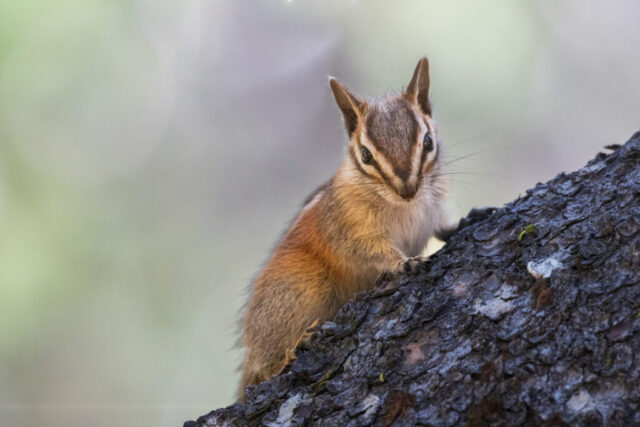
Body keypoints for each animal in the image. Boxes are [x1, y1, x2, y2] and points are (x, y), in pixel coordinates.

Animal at [238, 57, 453, 399]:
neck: (405, 206)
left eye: (428, 142)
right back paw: (295, 349)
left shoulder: (432, 210)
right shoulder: (349, 229)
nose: (407, 190)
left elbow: (439, 227)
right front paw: (404, 262)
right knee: (264, 369)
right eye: (365, 155)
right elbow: (370, 250)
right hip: (300, 285)